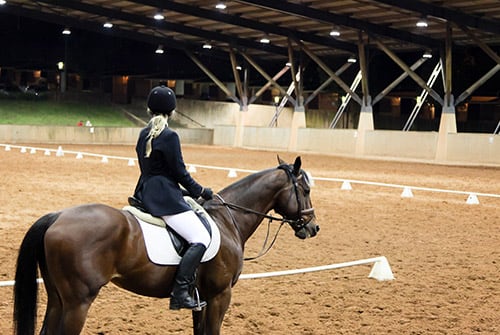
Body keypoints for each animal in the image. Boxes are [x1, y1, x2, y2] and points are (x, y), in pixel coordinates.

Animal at [14, 156, 320, 334]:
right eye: (305, 190)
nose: (313, 227)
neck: (228, 219)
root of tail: (57, 216)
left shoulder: (202, 298)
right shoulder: (220, 295)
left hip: (58, 298)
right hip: (79, 301)